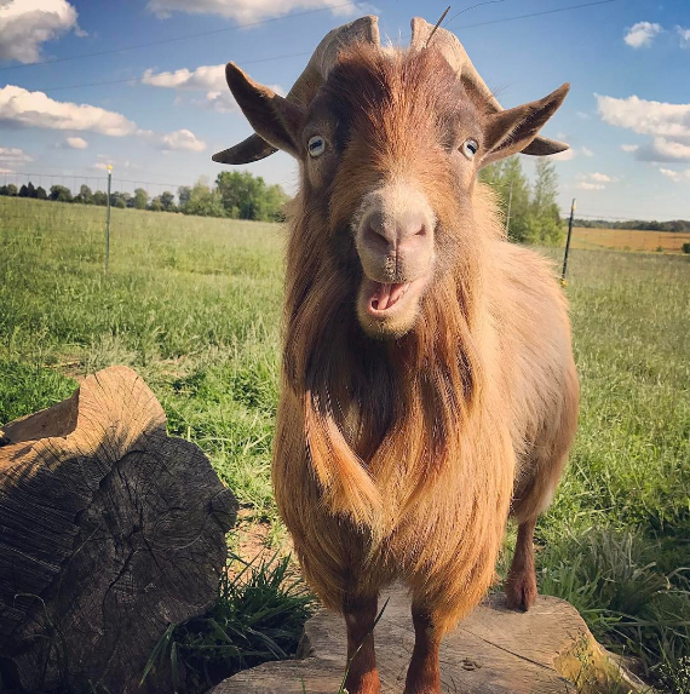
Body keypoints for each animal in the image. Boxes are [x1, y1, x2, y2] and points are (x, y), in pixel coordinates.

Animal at [214, 16, 579, 694]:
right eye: (317, 143)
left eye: (468, 147)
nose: (394, 233)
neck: (389, 375)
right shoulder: (339, 536)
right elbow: (361, 635)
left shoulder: (455, 539)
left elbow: (428, 635)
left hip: (547, 443)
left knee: (529, 518)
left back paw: (522, 589)